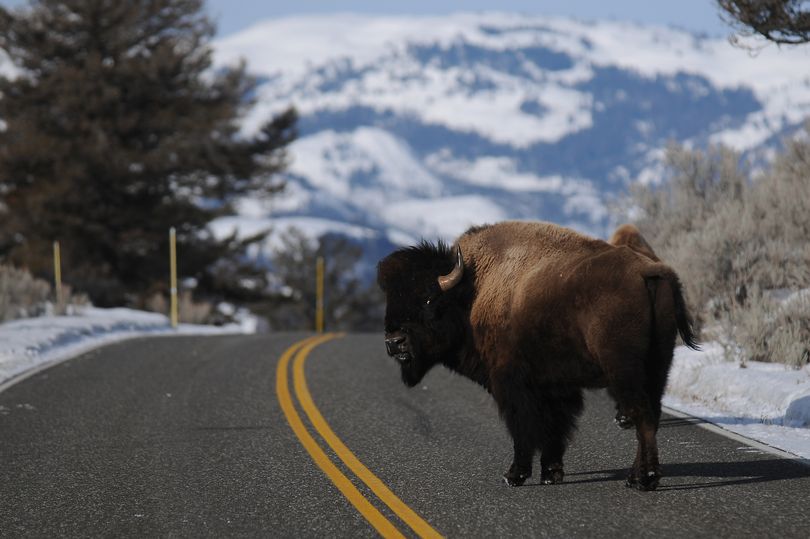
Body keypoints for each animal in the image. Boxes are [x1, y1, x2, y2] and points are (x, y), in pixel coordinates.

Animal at [377, 221, 698, 491]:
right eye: (390, 300)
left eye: (428, 299)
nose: (394, 342)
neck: (473, 290)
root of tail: (649, 272)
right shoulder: (555, 387)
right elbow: (553, 428)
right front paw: (550, 474)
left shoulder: (511, 384)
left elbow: (524, 428)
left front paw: (514, 475)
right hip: (658, 365)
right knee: (651, 414)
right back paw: (635, 476)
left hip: (624, 370)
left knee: (641, 413)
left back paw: (646, 480)